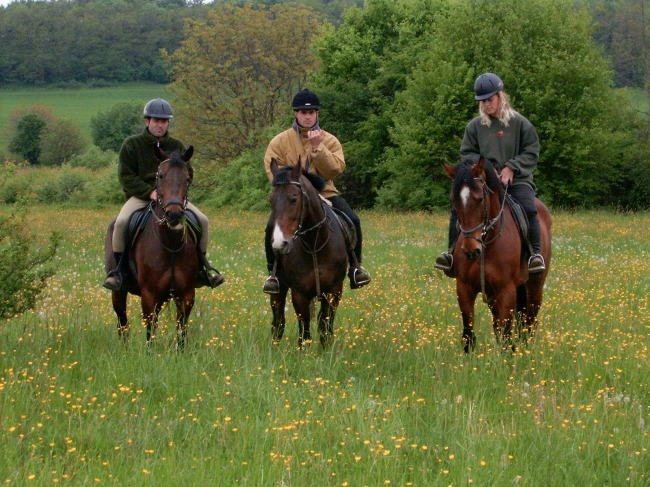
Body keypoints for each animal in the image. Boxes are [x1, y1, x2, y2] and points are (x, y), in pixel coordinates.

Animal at [102, 146, 199, 350]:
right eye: (160, 176)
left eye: (187, 178)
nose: (174, 215)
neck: (170, 243)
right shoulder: (149, 295)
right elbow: (150, 332)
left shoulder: (186, 295)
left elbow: (182, 331)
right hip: (118, 293)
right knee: (122, 323)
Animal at [268, 158, 350, 348]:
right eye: (271, 201)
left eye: (294, 198)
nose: (279, 244)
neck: (314, 245)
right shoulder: (300, 294)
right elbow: (304, 329)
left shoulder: (334, 291)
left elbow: (325, 325)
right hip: (278, 289)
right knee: (278, 321)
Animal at [438, 158, 548, 352]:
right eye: (454, 200)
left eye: (480, 199)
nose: (471, 250)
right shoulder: (465, 288)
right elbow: (468, 334)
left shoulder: (506, 290)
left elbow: (506, 335)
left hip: (535, 286)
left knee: (530, 322)